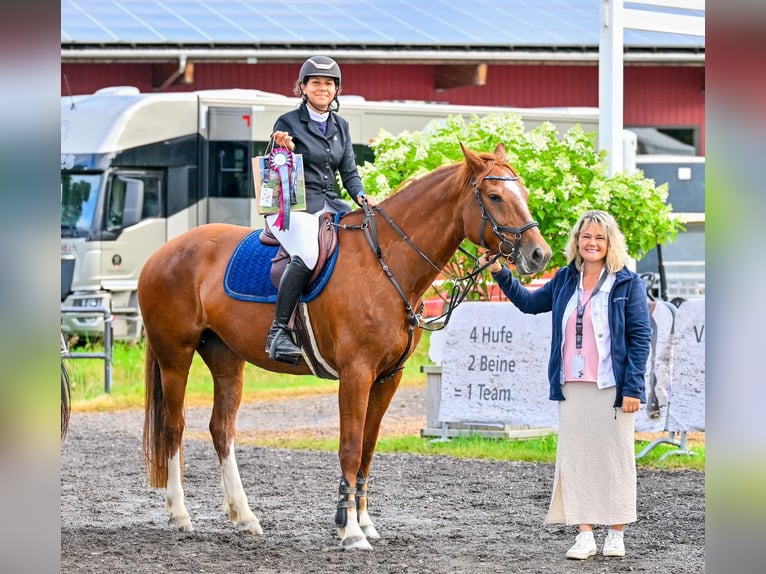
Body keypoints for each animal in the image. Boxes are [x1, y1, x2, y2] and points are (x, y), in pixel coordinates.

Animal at [140, 142, 552, 552]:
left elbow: (368, 448)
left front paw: (363, 521)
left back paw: (244, 516)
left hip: (226, 359)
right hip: (175, 357)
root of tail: (162, 252)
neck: (386, 262)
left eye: (524, 192)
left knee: (221, 429)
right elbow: (351, 448)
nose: (540, 255)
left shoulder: (388, 377)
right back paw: (180, 514)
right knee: (174, 427)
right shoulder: (356, 373)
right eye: (495, 196)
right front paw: (351, 529)